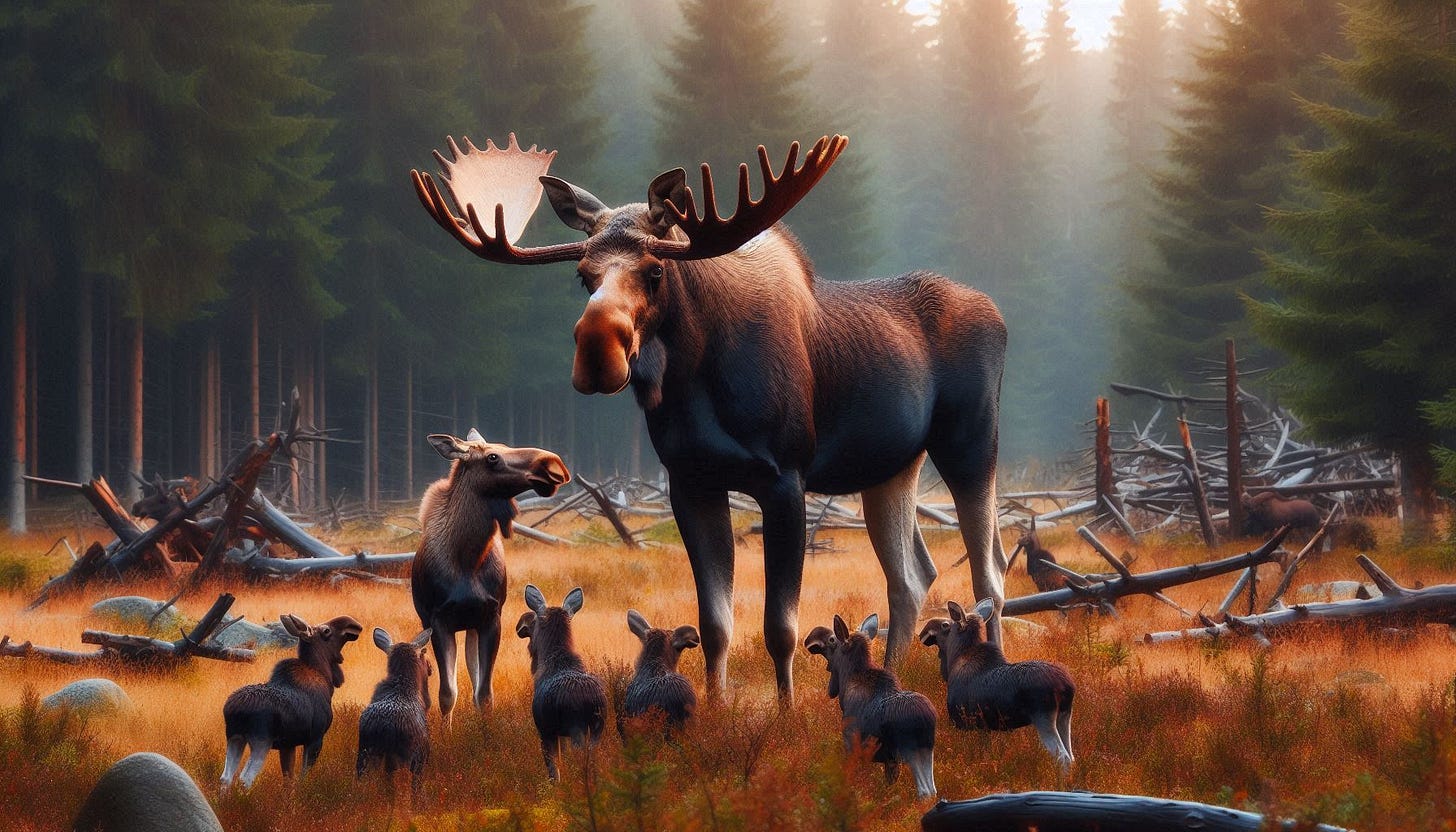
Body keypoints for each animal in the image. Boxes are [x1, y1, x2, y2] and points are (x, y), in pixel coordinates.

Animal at [413, 429, 570, 724]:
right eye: (492, 457)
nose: (554, 465)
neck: (467, 557)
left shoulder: (491, 617)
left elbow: (484, 694)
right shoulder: (439, 621)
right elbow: (447, 694)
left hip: (472, 627)